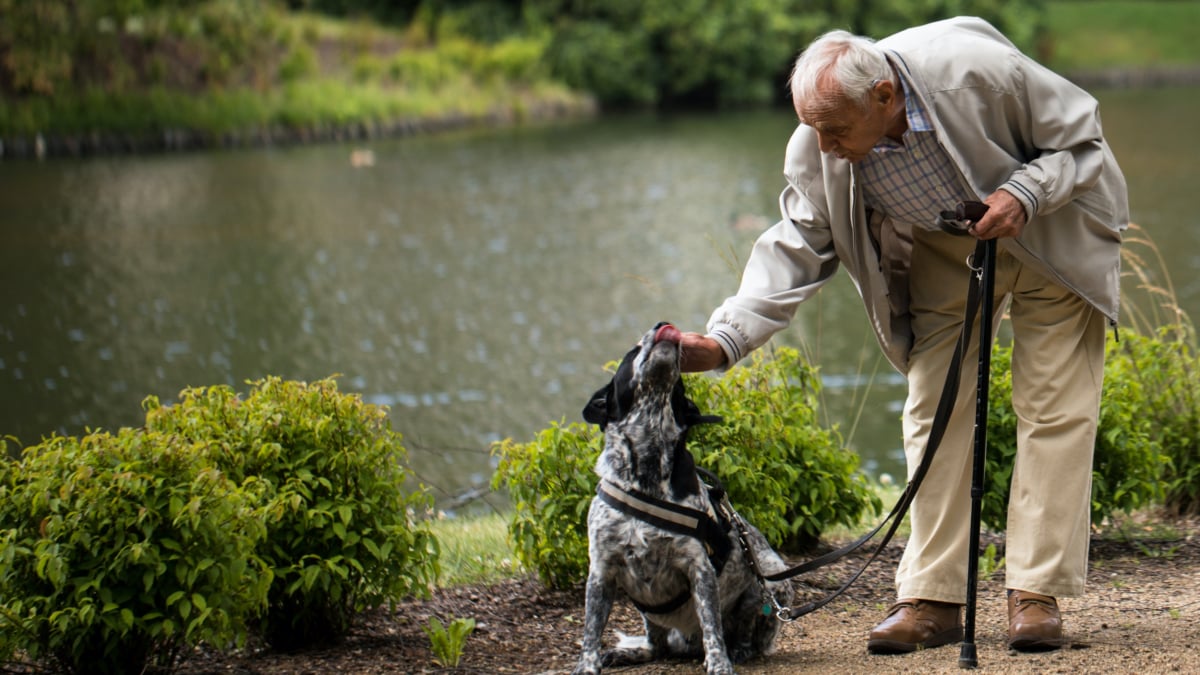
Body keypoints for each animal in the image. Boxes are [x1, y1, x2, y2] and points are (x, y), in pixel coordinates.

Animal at [573, 321, 792, 672]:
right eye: (632, 351)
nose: (661, 325)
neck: (647, 473)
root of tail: (686, 643)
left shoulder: (698, 566)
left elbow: (712, 626)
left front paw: (719, 664)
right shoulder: (601, 570)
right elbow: (591, 630)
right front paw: (587, 665)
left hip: (773, 580)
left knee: (745, 631)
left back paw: (739, 650)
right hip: (650, 615)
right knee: (657, 646)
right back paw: (630, 653)